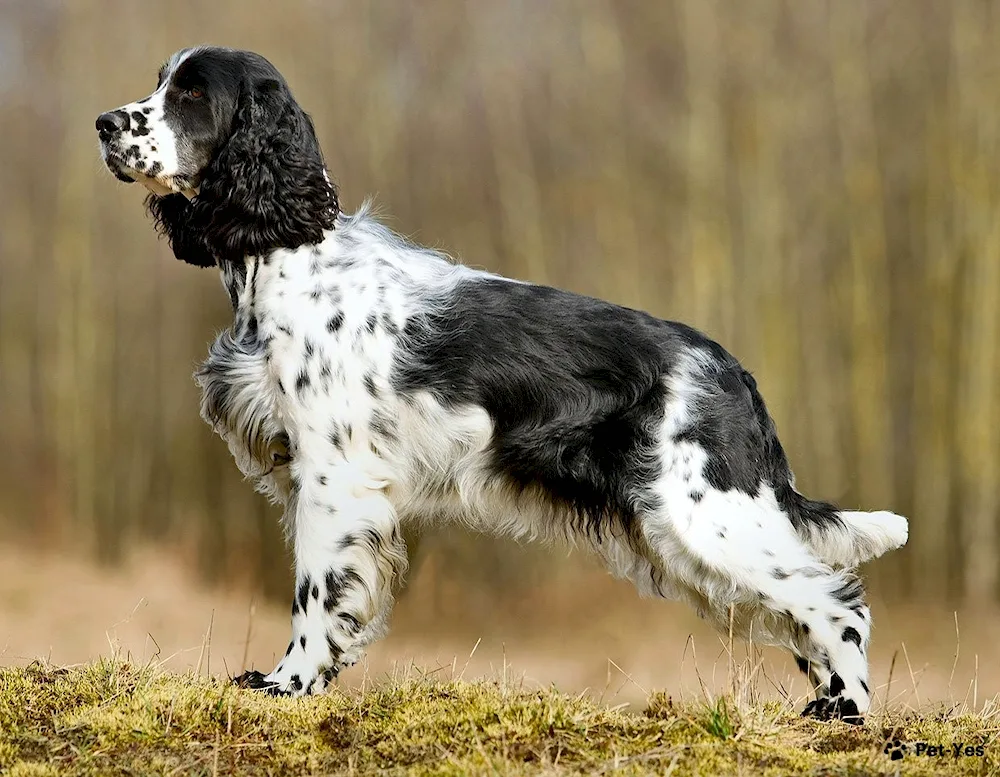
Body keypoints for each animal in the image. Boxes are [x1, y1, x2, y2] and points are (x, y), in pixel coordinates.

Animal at [97, 47, 912, 720]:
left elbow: (315, 591)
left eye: (192, 94)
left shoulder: (333, 476)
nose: (105, 123)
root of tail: (731, 372)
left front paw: (287, 684)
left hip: (707, 514)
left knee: (838, 602)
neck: (289, 255)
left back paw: (846, 711)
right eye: (159, 81)